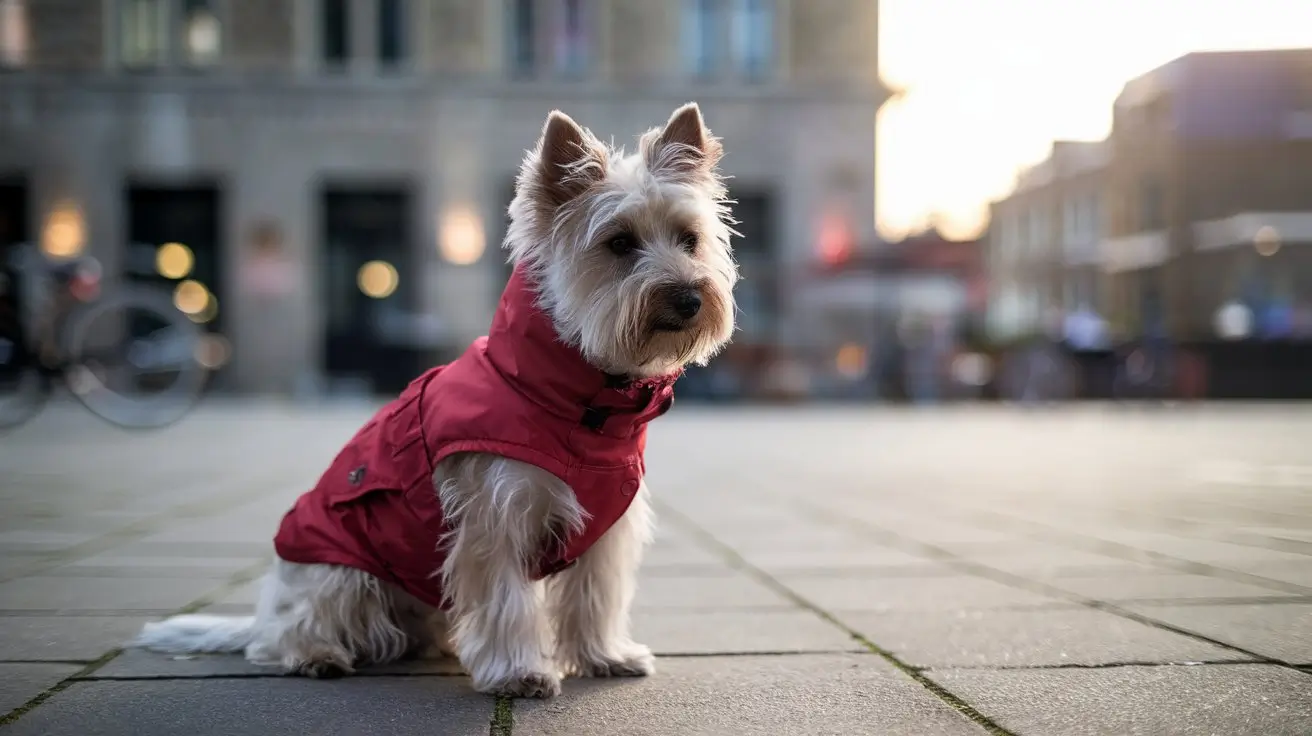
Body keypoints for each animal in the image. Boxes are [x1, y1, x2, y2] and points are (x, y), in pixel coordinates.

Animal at [139, 101, 745, 692]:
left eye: (689, 240)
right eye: (619, 243)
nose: (690, 298)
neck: (578, 404)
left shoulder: (604, 527)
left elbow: (593, 596)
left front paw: (604, 656)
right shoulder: (492, 513)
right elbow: (504, 598)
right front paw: (519, 672)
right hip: (340, 569)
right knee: (289, 628)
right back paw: (316, 654)